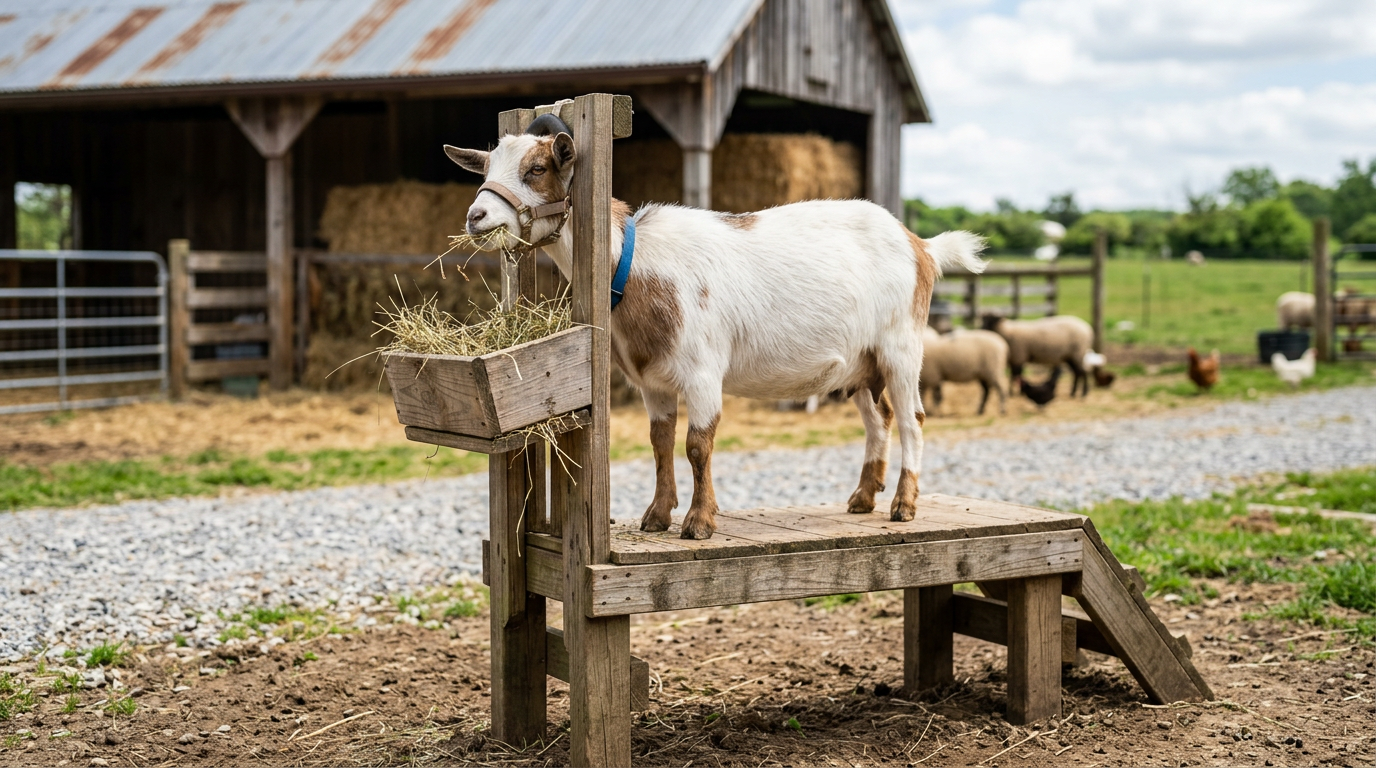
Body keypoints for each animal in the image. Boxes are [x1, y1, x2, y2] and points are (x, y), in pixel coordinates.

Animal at [444, 120, 986, 539]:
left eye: (536, 169)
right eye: (487, 170)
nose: (476, 217)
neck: (634, 263)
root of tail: (921, 245)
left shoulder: (703, 372)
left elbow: (697, 445)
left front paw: (699, 522)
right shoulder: (653, 382)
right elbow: (661, 443)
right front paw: (656, 516)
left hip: (902, 346)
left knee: (913, 419)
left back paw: (903, 505)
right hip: (862, 362)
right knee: (880, 420)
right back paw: (862, 497)